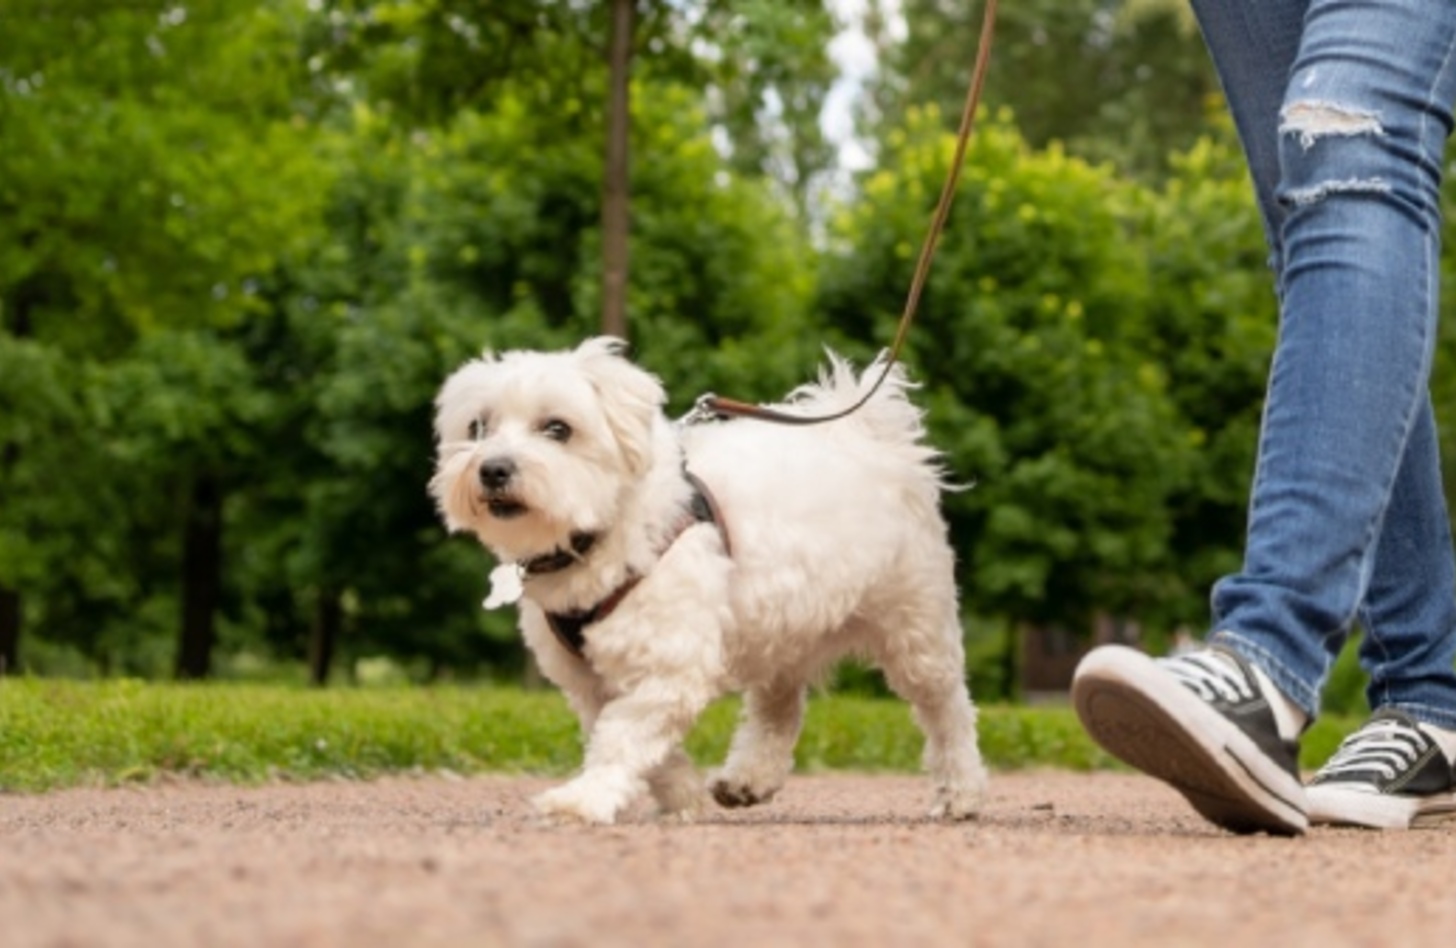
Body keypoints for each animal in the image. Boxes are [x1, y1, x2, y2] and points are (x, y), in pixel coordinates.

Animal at [425, 339, 984, 821]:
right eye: (478, 427)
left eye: (558, 428)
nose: (493, 469)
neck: (605, 536)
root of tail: (871, 437)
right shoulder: (590, 683)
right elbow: (642, 744)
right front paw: (680, 794)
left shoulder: (672, 666)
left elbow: (623, 736)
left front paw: (584, 799)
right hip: (782, 626)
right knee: (778, 709)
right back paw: (749, 778)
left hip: (916, 627)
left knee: (948, 711)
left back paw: (961, 790)